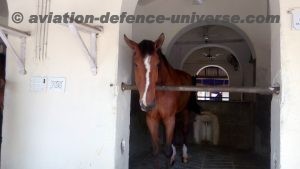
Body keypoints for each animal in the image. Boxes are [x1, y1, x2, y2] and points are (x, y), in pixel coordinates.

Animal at [124, 33, 199, 168]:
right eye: (135, 64)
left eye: (157, 64)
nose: (147, 104)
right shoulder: (151, 120)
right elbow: (156, 150)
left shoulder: (169, 118)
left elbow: (167, 151)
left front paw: (171, 158)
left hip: (185, 111)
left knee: (184, 131)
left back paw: (184, 156)